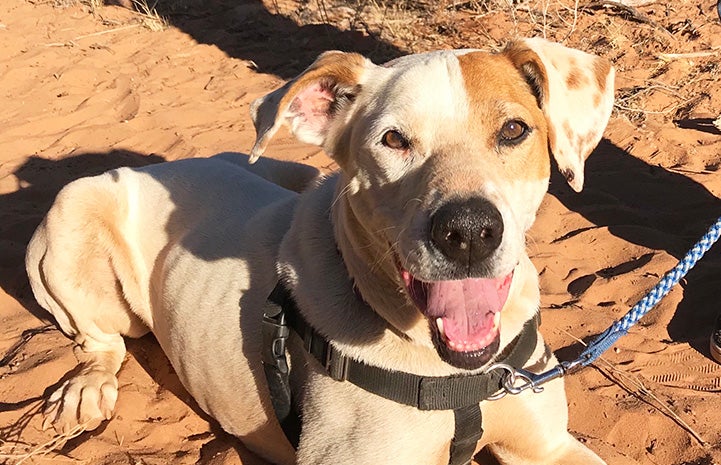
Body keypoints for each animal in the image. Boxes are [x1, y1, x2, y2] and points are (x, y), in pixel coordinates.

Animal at [26, 38, 612, 462]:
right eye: (393, 140)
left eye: (514, 129)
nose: (468, 232)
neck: (453, 373)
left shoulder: (549, 446)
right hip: (74, 208)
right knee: (102, 342)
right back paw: (87, 388)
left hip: (289, 172)